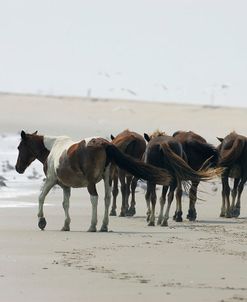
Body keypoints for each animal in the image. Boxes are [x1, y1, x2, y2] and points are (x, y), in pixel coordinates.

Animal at [15, 131, 174, 232]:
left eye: (19, 147)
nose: (18, 168)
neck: (53, 149)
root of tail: (104, 144)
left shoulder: (51, 180)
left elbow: (41, 197)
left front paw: (41, 221)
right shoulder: (66, 186)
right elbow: (65, 204)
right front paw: (66, 225)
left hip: (91, 183)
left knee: (94, 199)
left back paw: (93, 226)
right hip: (108, 179)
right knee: (107, 198)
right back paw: (104, 226)